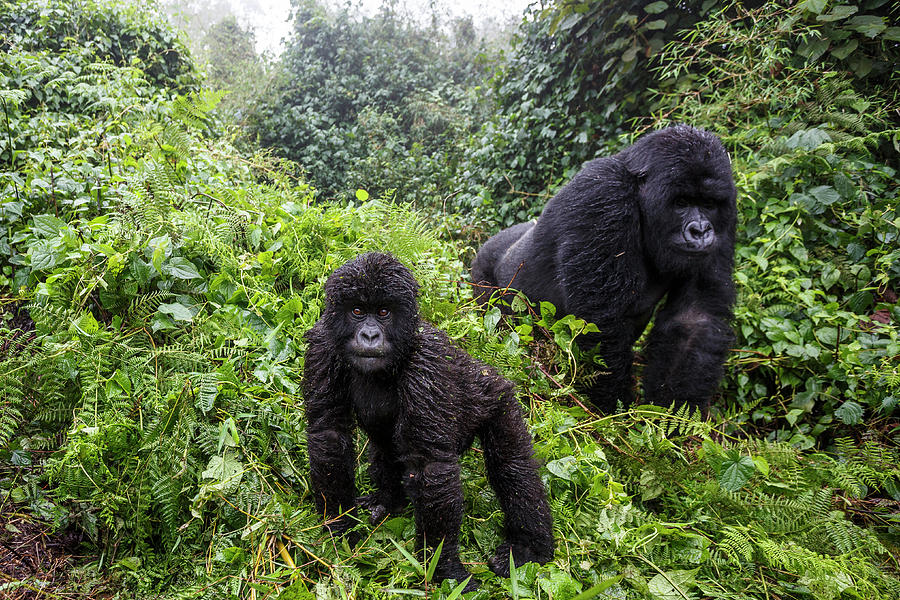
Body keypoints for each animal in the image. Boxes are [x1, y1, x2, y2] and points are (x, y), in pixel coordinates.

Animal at [306, 252, 552, 592]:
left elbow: (431, 467)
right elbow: (329, 434)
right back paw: (387, 502)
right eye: (357, 311)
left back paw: (529, 546)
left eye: (383, 312)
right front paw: (340, 525)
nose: (369, 335)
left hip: (499, 400)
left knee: (513, 467)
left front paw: (444, 568)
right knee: (385, 450)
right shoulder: (323, 344)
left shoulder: (427, 364)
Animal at [472, 124, 740, 414]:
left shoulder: (728, 215)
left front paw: (671, 412)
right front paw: (615, 410)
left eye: (709, 204)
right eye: (681, 203)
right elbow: (601, 321)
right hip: (481, 273)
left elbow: (694, 319)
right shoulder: (603, 194)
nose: (700, 231)